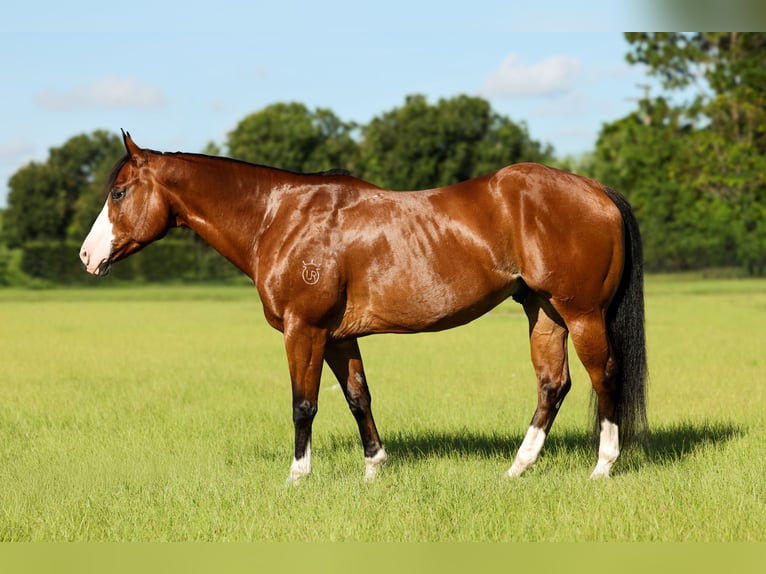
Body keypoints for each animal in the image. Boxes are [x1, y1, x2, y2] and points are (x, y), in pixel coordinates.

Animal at [80, 131, 647, 482]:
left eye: (119, 192)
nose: (87, 256)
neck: (279, 217)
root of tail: (596, 189)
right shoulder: (338, 336)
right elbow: (358, 397)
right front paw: (374, 467)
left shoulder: (304, 330)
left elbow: (303, 404)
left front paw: (297, 475)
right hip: (543, 311)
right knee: (553, 384)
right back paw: (517, 468)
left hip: (580, 313)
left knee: (603, 375)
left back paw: (603, 466)